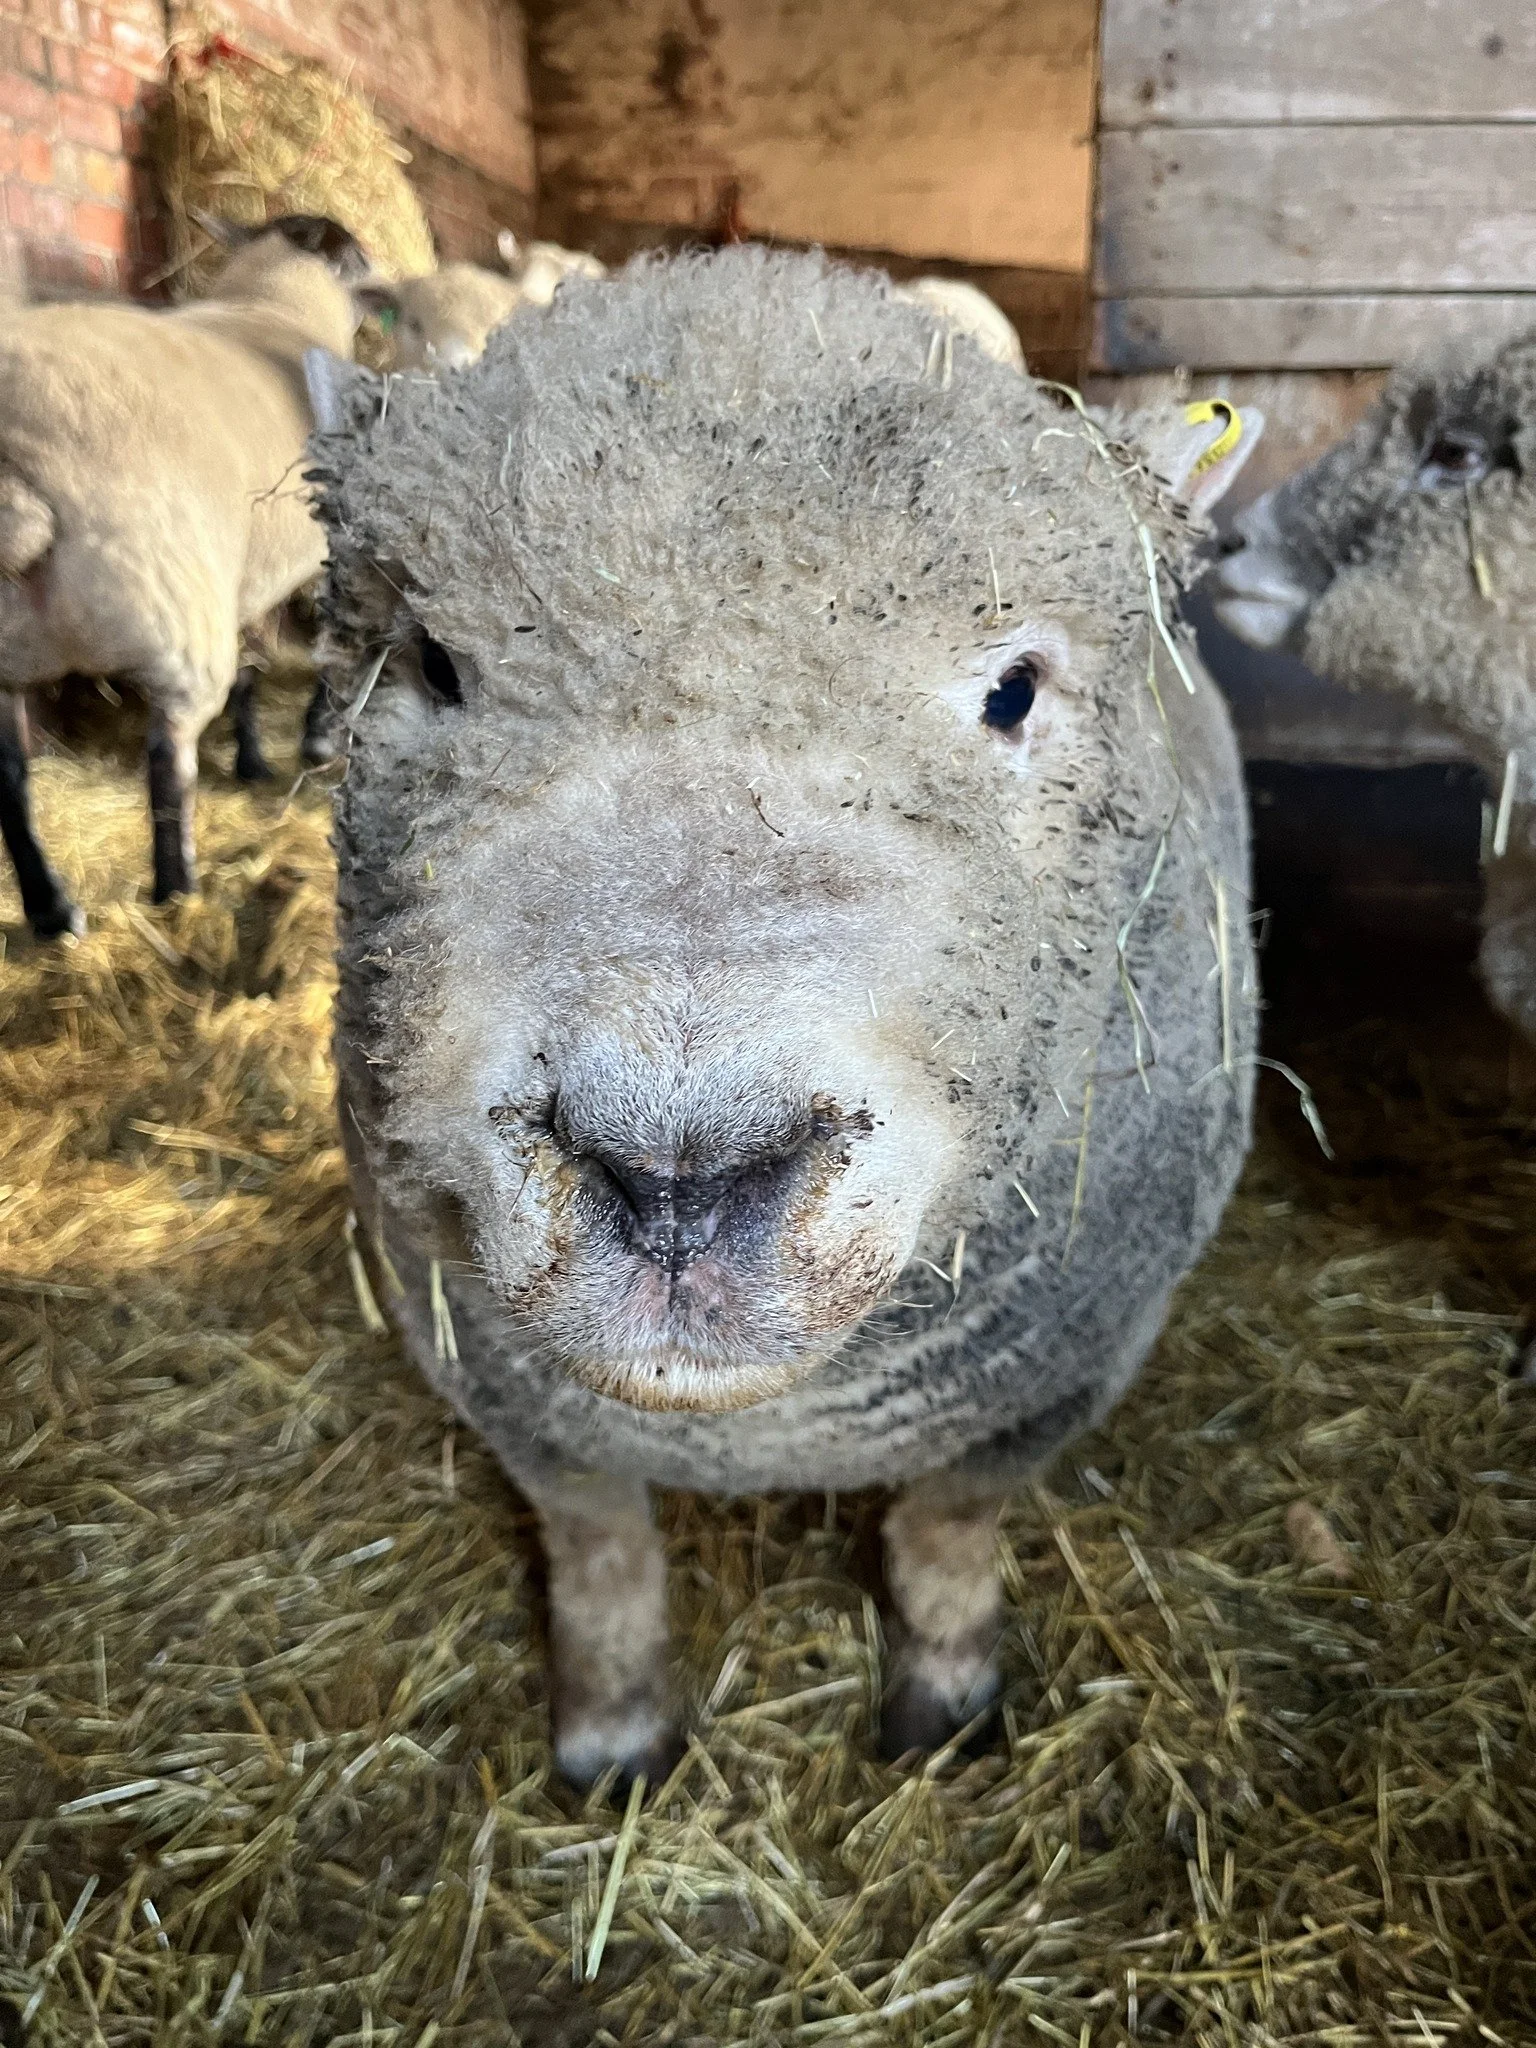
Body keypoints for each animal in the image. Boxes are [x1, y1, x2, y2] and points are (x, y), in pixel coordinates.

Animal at [0, 214, 369, 938]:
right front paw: (314, 738)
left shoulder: (248, 568)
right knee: (169, 766)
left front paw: (253, 759)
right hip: (173, 611)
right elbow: (324, 649)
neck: (274, 306)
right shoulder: (315, 549)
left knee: (6, 778)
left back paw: (53, 910)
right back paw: (177, 891)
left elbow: (255, 666)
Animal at [307, 247, 1264, 1788]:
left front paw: (944, 1696)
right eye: (436, 665)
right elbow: (598, 1542)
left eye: (1012, 691)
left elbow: (948, 1521)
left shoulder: (1073, 1367)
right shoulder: (488, 1373)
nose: (675, 1180)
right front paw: (615, 1735)